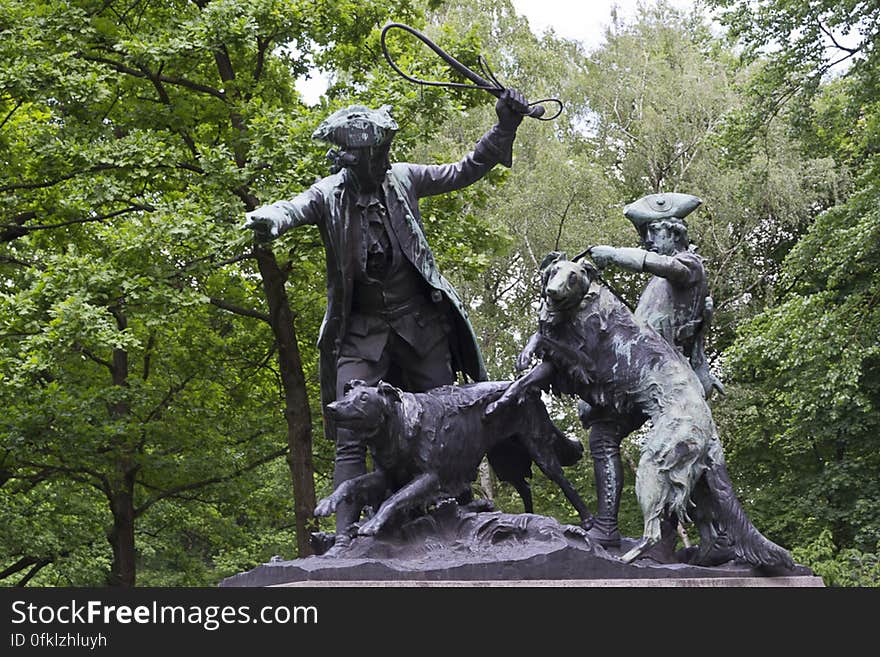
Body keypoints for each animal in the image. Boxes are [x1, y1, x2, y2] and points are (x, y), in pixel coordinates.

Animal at [316, 380, 592, 540]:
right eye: (347, 393)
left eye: (364, 397)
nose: (330, 407)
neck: (396, 427)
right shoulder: (386, 474)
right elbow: (350, 483)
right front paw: (328, 503)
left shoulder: (429, 476)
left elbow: (393, 499)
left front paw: (373, 524)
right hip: (504, 458)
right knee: (523, 486)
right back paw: (523, 518)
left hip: (536, 446)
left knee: (560, 478)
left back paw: (587, 521)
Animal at [488, 251, 796, 568]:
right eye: (554, 272)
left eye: (572, 276)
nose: (551, 292)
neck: (581, 306)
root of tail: (708, 426)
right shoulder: (563, 366)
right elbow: (527, 377)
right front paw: (503, 398)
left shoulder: (586, 362)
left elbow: (544, 342)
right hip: (698, 480)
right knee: (707, 525)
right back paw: (701, 556)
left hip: (654, 467)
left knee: (654, 531)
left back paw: (624, 559)